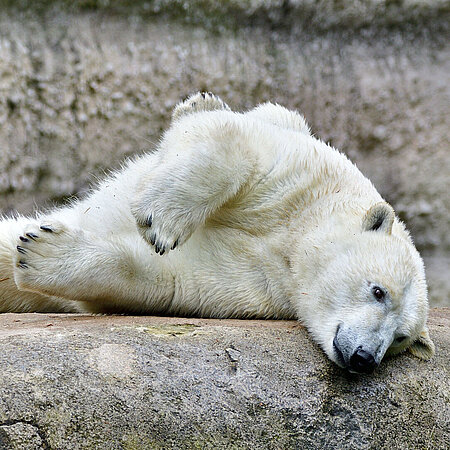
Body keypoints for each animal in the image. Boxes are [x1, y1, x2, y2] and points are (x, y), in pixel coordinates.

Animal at [0, 91, 436, 372]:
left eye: (401, 338)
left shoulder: (258, 287)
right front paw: (161, 219)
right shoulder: (305, 176)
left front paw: (42, 254)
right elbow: (233, 138)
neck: (292, 240)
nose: (366, 358)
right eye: (378, 291)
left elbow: (173, 280)